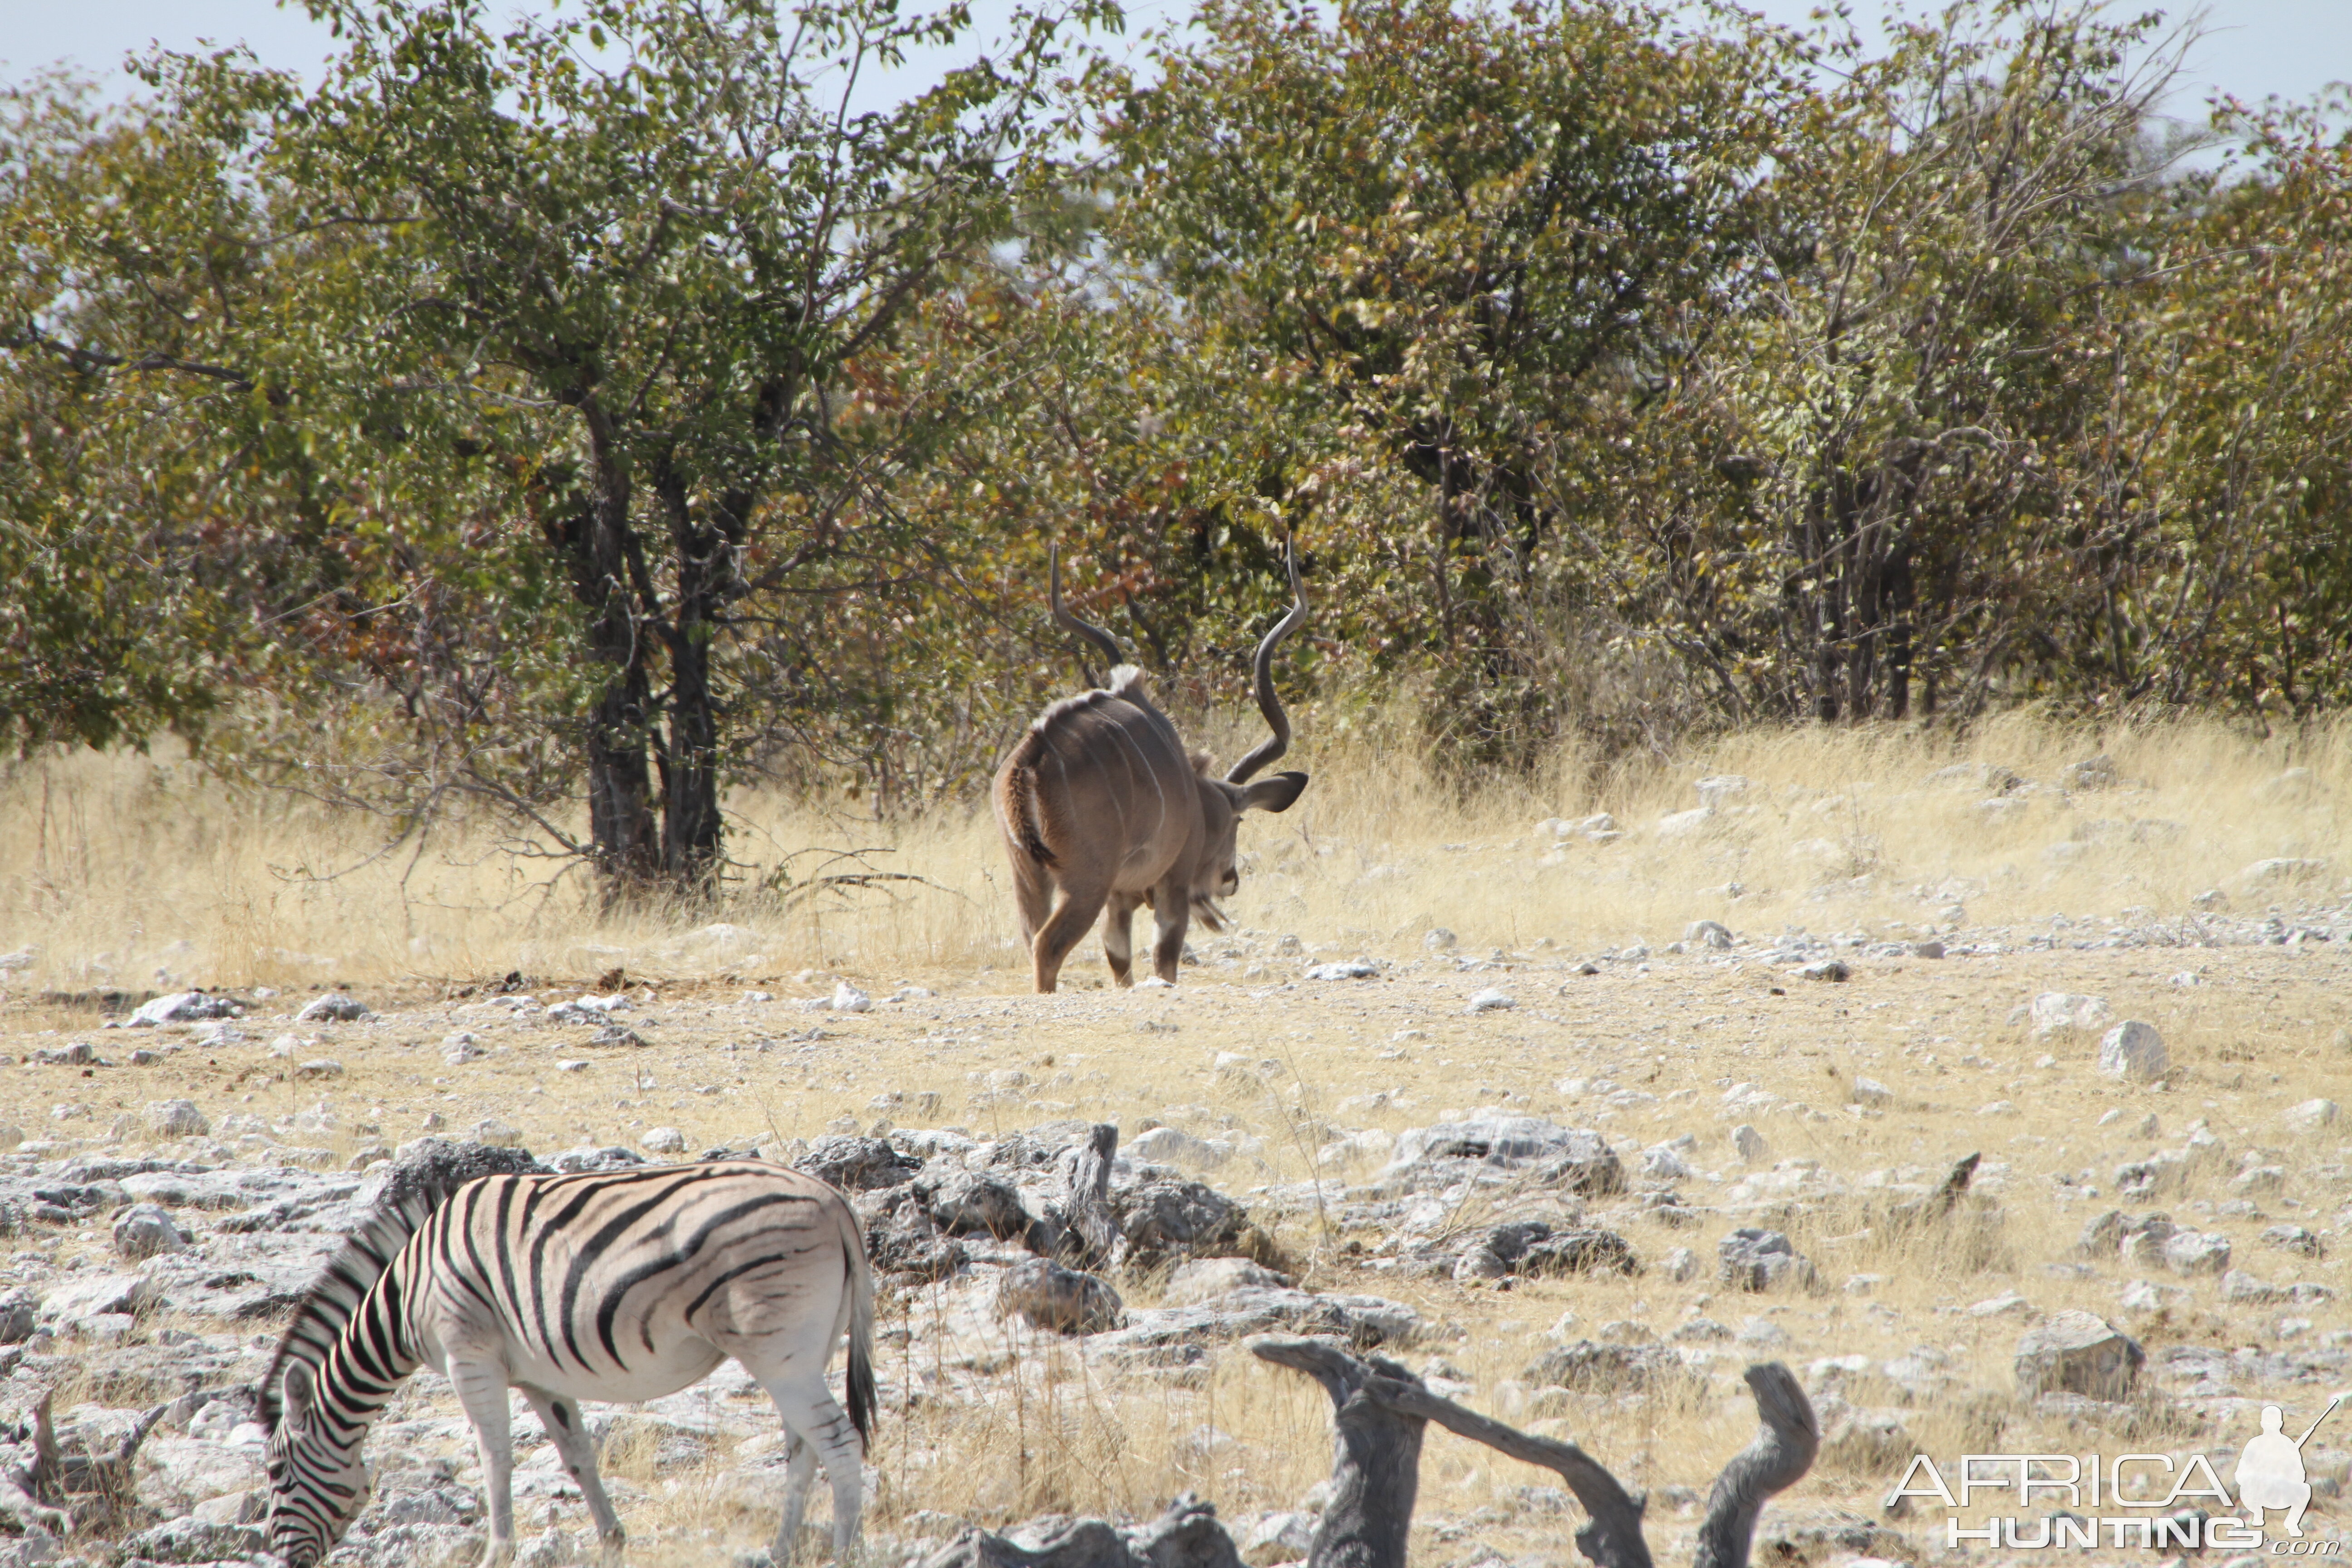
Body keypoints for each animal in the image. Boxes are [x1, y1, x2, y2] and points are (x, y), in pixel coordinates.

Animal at [260, 1152, 884, 1568]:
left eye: (278, 1473)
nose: (283, 1561)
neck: (409, 1292)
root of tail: (835, 1202)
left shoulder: (470, 1356)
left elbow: (495, 1458)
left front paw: (498, 1553)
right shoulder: (539, 1375)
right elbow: (577, 1454)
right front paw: (612, 1540)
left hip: (779, 1351)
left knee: (838, 1441)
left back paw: (847, 1552)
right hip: (801, 1353)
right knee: (804, 1449)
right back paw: (779, 1551)